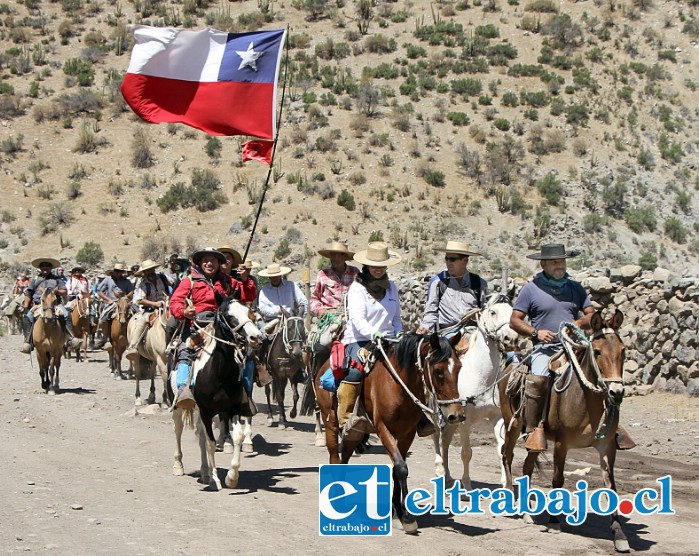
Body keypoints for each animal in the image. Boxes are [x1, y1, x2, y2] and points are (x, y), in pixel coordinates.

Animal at [172, 298, 262, 488]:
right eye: (229, 316)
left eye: (249, 312)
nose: (255, 337)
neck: (218, 373)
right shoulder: (206, 411)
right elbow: (211, 443)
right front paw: (215, 479)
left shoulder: (231, 409)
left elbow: (236, 437)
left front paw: (231, 477)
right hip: (178, 407)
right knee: (178, 431)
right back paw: (178, 465)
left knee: (199, 436)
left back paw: (204, 473)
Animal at [314, 332, 462, 532]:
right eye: (438, 371)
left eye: (459, 368)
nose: (456, 415)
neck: (398, 385)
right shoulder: (384, 428)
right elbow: (401, 468)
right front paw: (407, 517)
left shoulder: (407, 433)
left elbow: (397, 470)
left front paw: (398, 511)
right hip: (330, 421)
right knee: (335, 458)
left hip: (355, 431)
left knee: (345, 455)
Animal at [430, 294, 524, 488]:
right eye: (493, 312)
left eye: (513, 312)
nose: (511, 338)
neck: (480, 376)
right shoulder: (464, 421)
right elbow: (466, 452)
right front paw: (466, 485)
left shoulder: (498, 417)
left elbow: (502, 449)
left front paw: (507, 484)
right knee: (436, 436)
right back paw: (439, 471)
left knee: (445, 439)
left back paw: (448, 477)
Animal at [500, 310, 632, 552]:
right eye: (597, 351)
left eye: (623, 350)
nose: (616, 392)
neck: (587, 400)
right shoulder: (562, 444)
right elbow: (558, 479)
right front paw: (554, 521)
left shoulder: (607, 446)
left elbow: (611, 486)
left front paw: (619, 534)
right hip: (512, 423)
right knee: (507, 455)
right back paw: (516, 505)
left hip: (535, 438)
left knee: (527, 465)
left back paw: (527, 511)